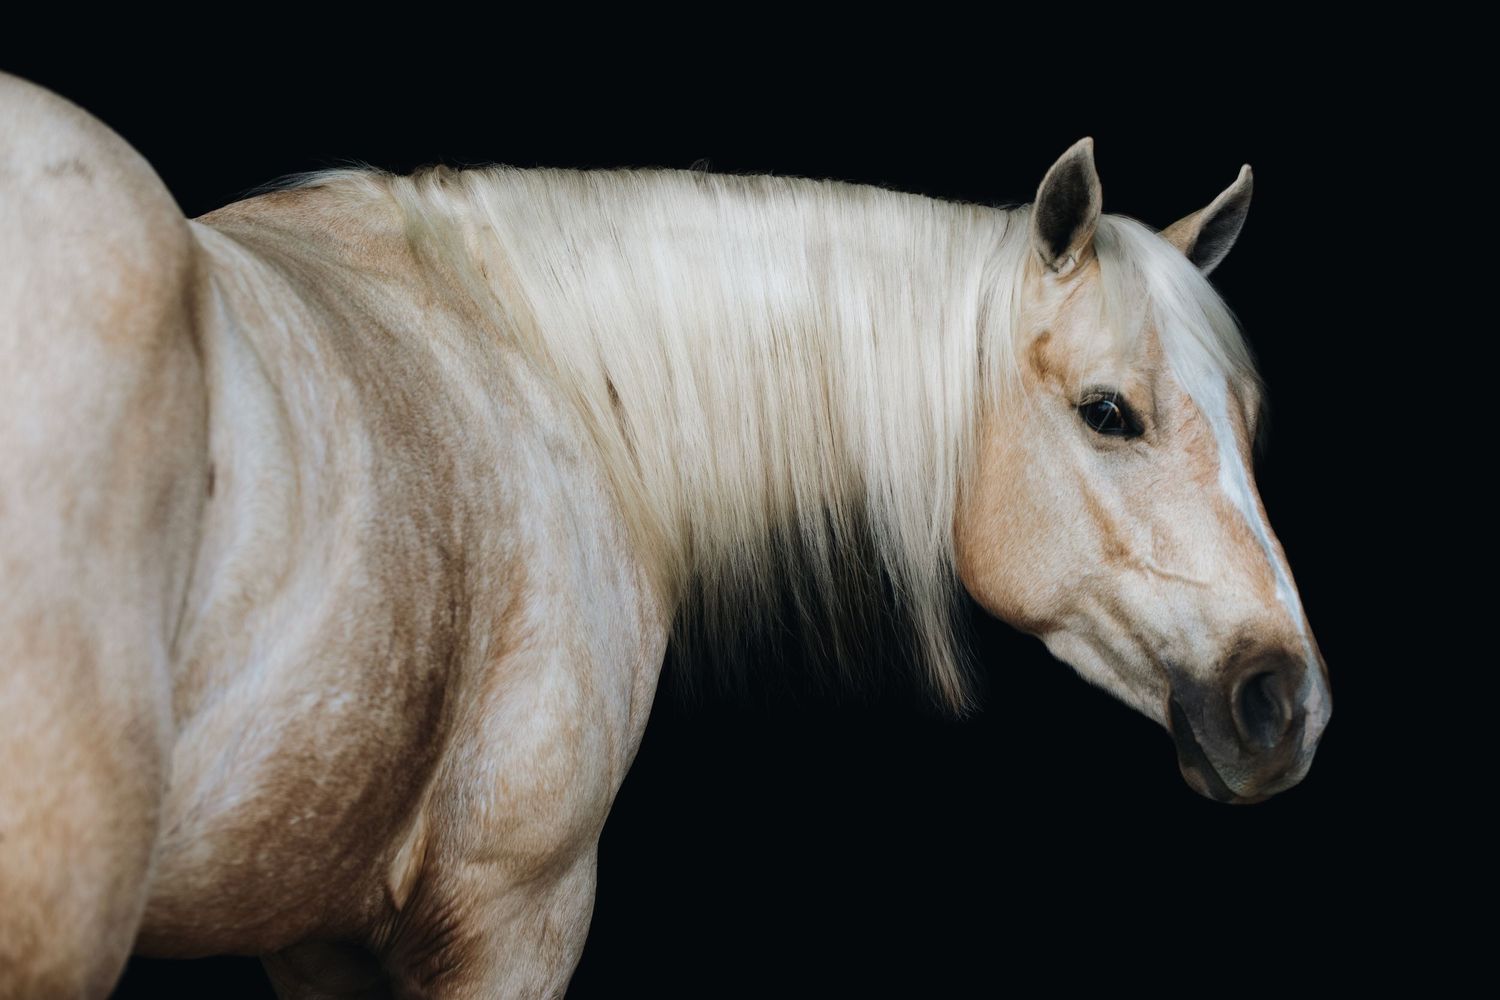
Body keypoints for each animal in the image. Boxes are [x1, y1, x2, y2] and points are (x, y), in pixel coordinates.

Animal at [0, 71, 1331, 999]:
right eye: (1109, 412)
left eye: (1252, 418)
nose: (1285, 700)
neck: (534, 358)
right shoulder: (516, 914)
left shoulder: (319, 937)